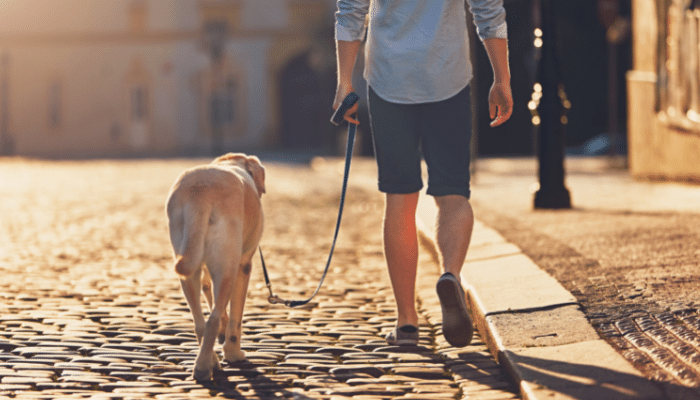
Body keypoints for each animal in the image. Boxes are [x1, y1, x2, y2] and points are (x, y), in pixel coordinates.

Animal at [165, 153, 266, 382]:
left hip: (188, 266)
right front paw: (233, 352)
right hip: (228, 267)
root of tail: (201, 192)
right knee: (212, 318)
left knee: (200, 322)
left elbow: (210, 295)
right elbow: (236, 316)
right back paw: (204, 367)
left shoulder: (205, 271)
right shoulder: (243, 265)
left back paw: (209, 361)